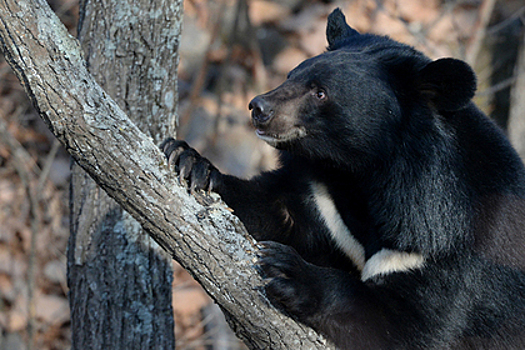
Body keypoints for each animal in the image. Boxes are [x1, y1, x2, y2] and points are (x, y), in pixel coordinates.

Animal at [160, 8, 524, 350]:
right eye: (291, 75)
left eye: (320, 92)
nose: (258, 108)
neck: (362, 173)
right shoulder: (324, 200)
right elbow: (272, 208)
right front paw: (190, 161)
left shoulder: (447, 247)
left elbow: (414, 325)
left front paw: (289, 270)